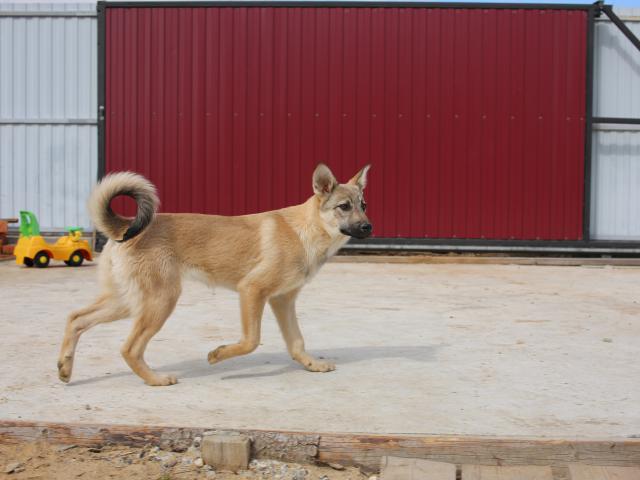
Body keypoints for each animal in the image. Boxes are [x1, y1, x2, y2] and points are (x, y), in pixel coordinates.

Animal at [59, 163, 372, 384]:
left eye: (364, 205)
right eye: (344, 207)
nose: (368, 227)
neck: (304, 230)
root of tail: (124, 226)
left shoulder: (282, 300)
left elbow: (296, 341)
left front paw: (311, 364)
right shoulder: (252, 290)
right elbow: (251, 340)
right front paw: (218, 354)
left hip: (128, 301)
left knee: (76, 318)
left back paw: (64, 367)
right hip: (160, 301)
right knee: (129, 348)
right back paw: (156, 380)